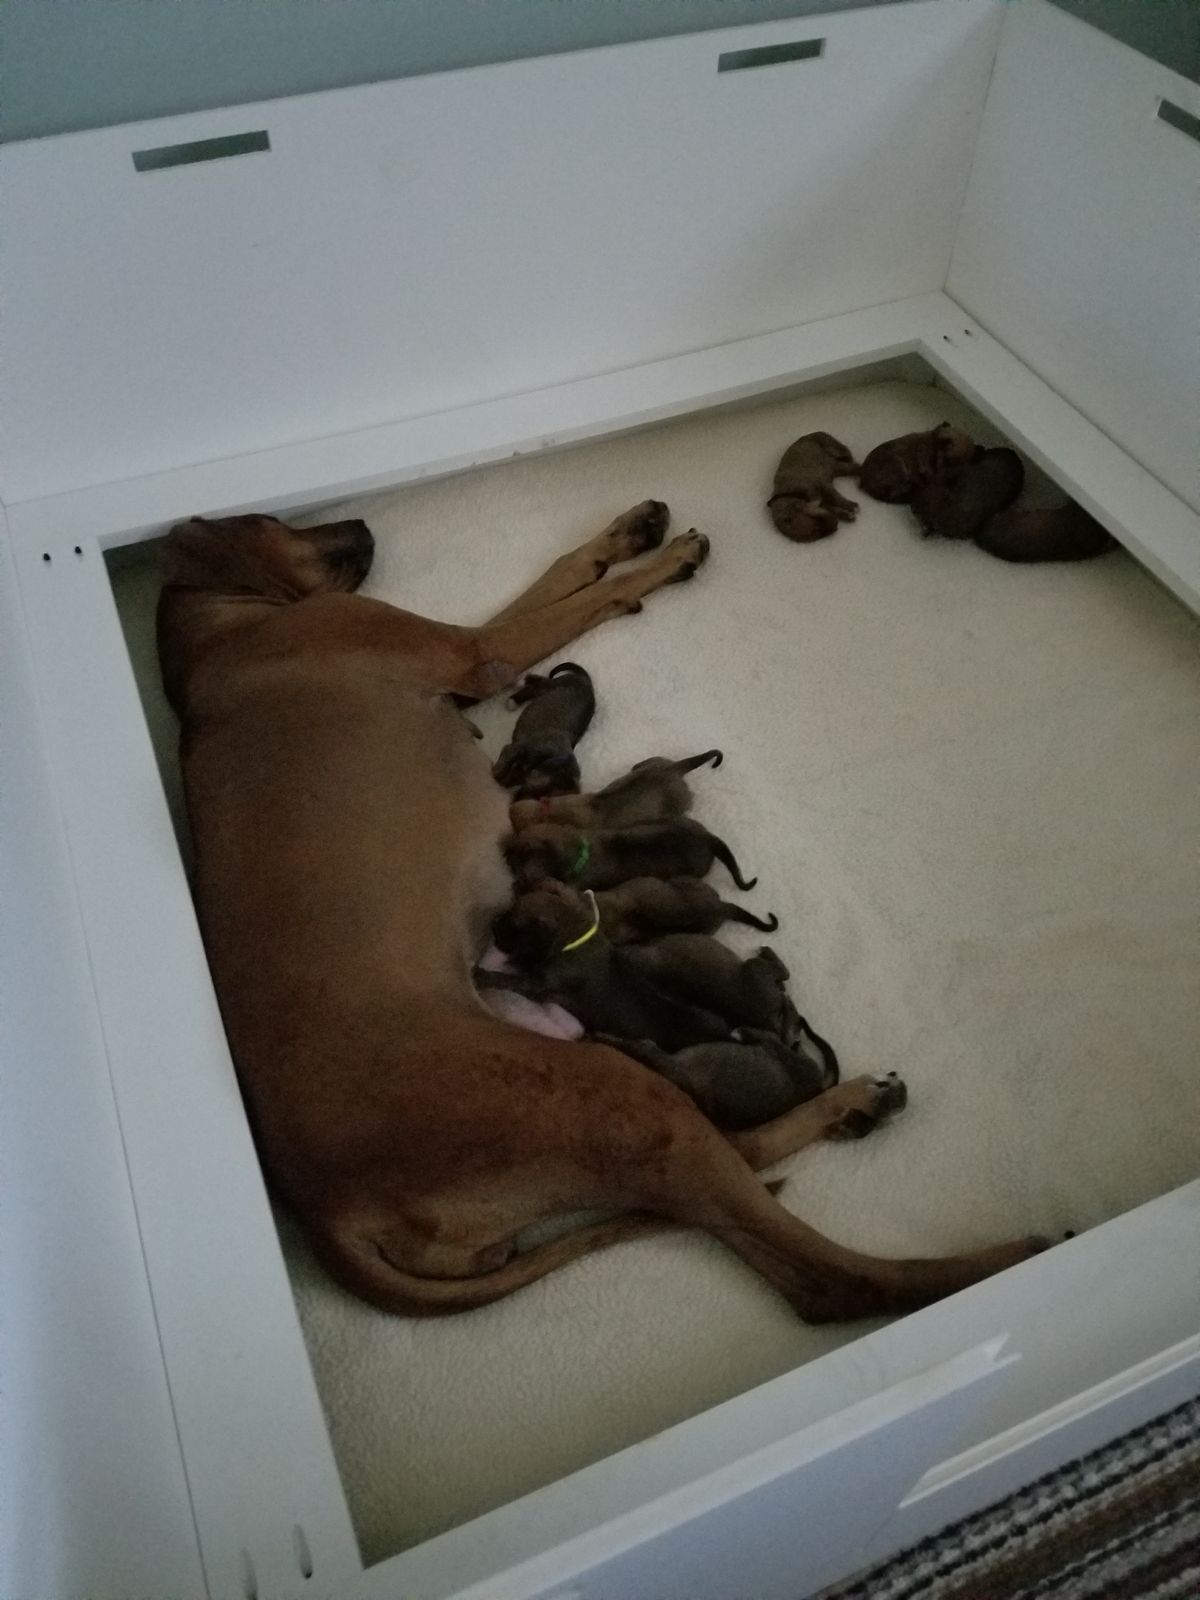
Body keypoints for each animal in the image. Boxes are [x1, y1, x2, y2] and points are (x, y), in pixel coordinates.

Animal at [492, 661, 596, 798]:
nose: (516, 799)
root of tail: (587, 681)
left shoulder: (520, 770)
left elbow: (512, 774)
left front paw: (503, 782)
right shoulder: (514, 749)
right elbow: (503, 766)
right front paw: (496, 775)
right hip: (553, 685)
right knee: (538, 684)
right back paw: (518, 693)